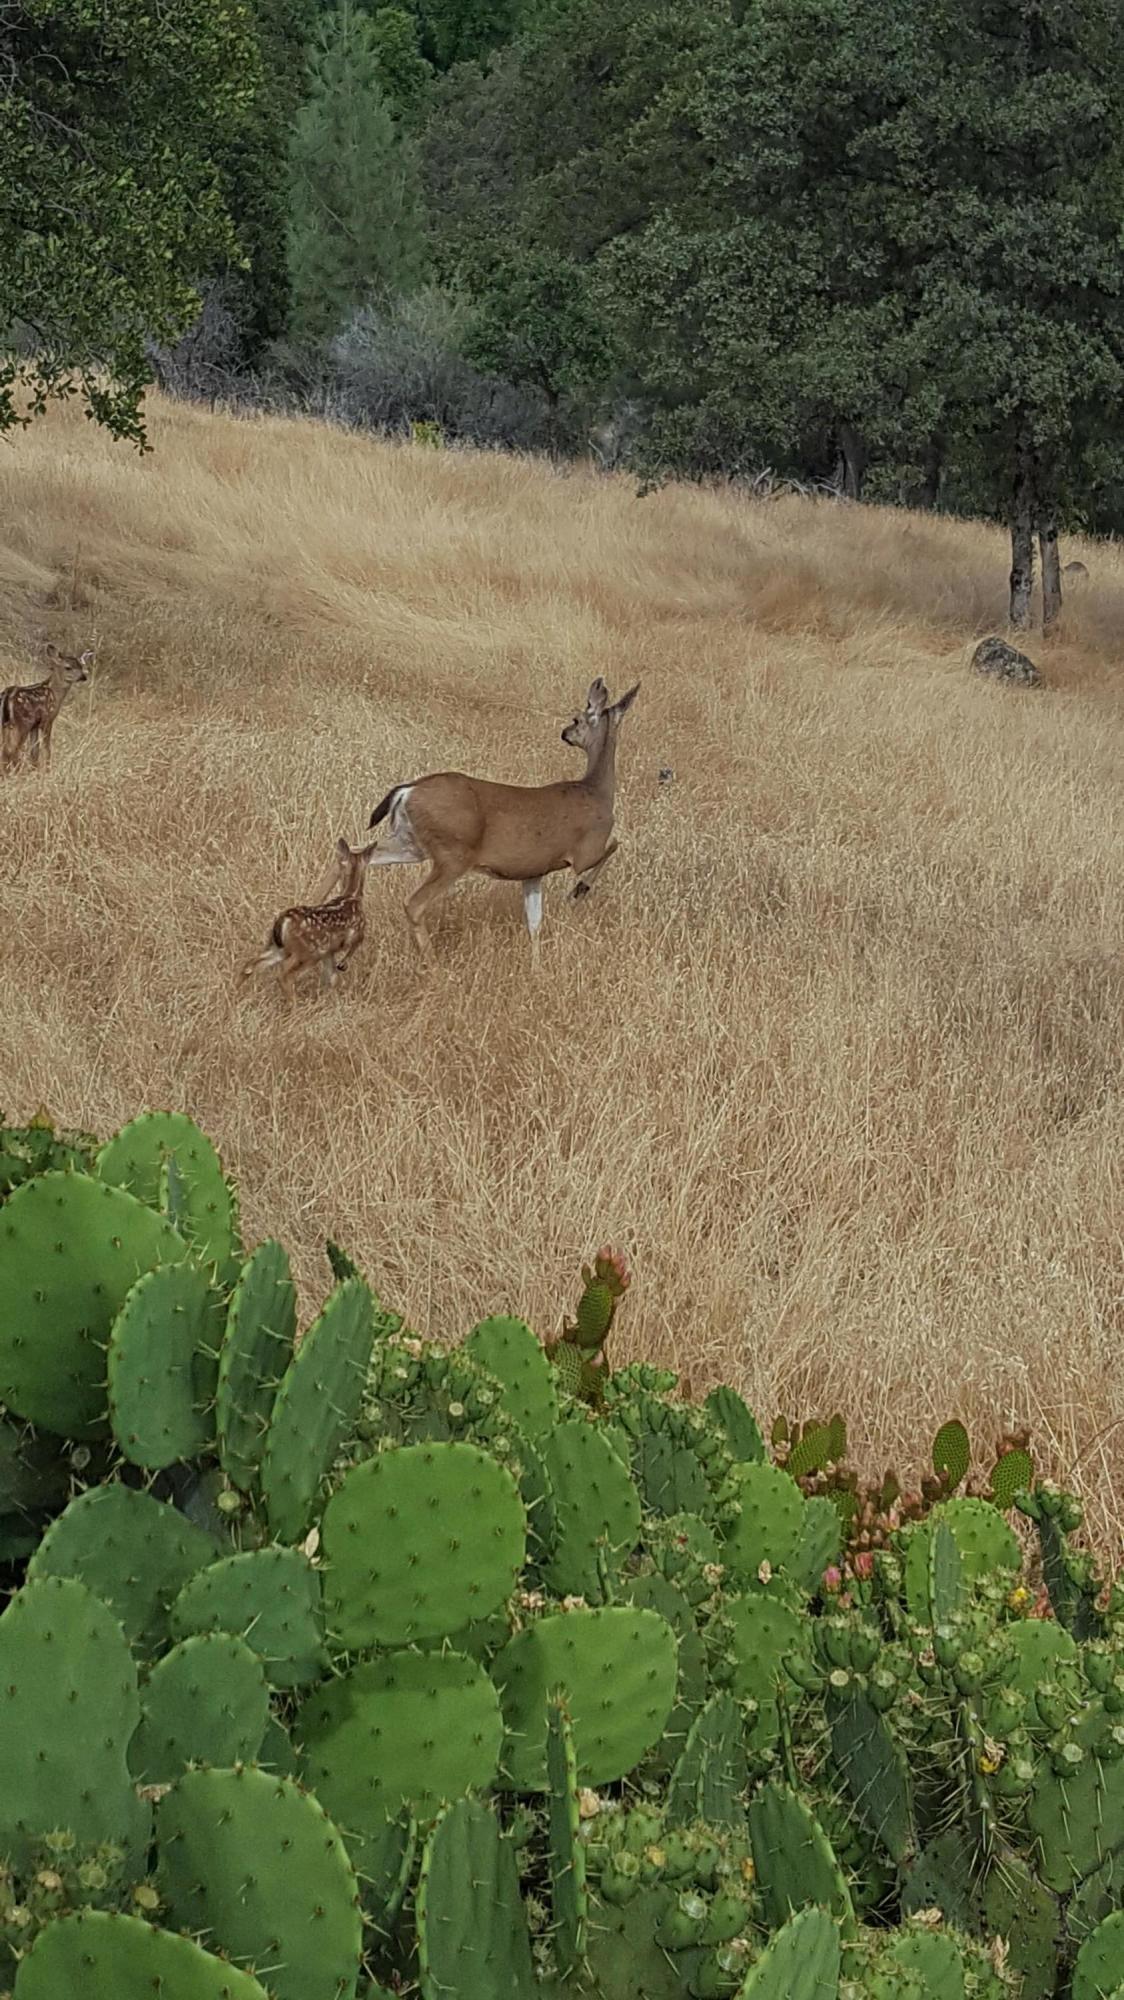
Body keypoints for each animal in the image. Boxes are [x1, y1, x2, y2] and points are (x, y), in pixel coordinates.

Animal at [0, 644, 93, 774]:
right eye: (68, 667)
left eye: (80, 666)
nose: (83, 677)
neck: (55, 693)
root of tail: (6, 697)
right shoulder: (47, 720)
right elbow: (46, 748)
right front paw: (47, 769)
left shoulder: (35, 725)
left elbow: (34, 751)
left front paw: (35, 769)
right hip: (22, 723)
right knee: (11, 750)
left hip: (7, 724)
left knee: (5, 749)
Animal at [241, 836, 380, 999]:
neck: (352, 896)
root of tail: (283, 921)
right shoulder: (358, 932)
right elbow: (354, 947)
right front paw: (343, 965)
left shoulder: (329, 951)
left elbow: (332, 976)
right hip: (307, 952)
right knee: (284, 974)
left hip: (278, 946)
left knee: (251, 964)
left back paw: (235, 994)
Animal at [363, 676, 640, 961]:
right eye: (576, 718)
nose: (564, 732)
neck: (596, 792)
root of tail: (408, 790)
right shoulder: (584, 853)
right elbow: (614, 844)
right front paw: (578, 891)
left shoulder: (533, 872)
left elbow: (534, 923)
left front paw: (535, 964)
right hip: (452, 855)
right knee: (414, 903)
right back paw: (431, 960)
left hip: (411, 844)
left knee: (358, 855)